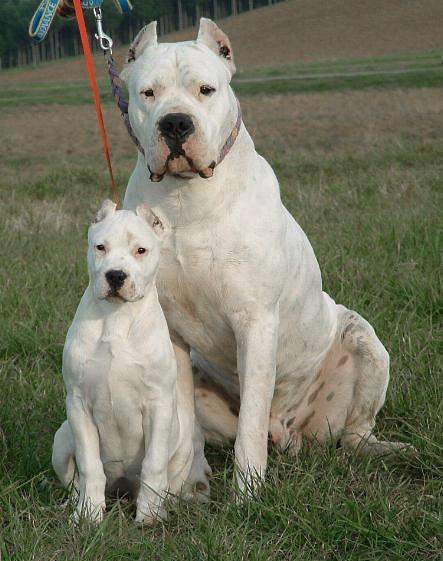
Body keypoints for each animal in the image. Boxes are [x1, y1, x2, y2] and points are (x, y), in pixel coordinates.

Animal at [52, 201, 212, 524]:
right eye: (100, 247)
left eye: (141, 250)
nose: (115, 276)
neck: (116, 317)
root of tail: (122, 488)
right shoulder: (78, 403)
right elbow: (89, 465)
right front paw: (88, 515)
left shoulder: (158, 405)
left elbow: (154, 465)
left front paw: (148, 517)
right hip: (61, 440)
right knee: (74, 479)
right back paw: (75, 505)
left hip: (182, 447)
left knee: (168, 480)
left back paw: (165, 506)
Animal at [120, 18, 410, 490]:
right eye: (148, 93)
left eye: (205, 90)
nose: (176, 123)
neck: (186, 198)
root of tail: (291, 431)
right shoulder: (173, 336)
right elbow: (180, 418)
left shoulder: (254, 322)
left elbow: (251, 421)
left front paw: (247, 492)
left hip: (364, 342)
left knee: (352, 434)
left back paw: (384, 448)